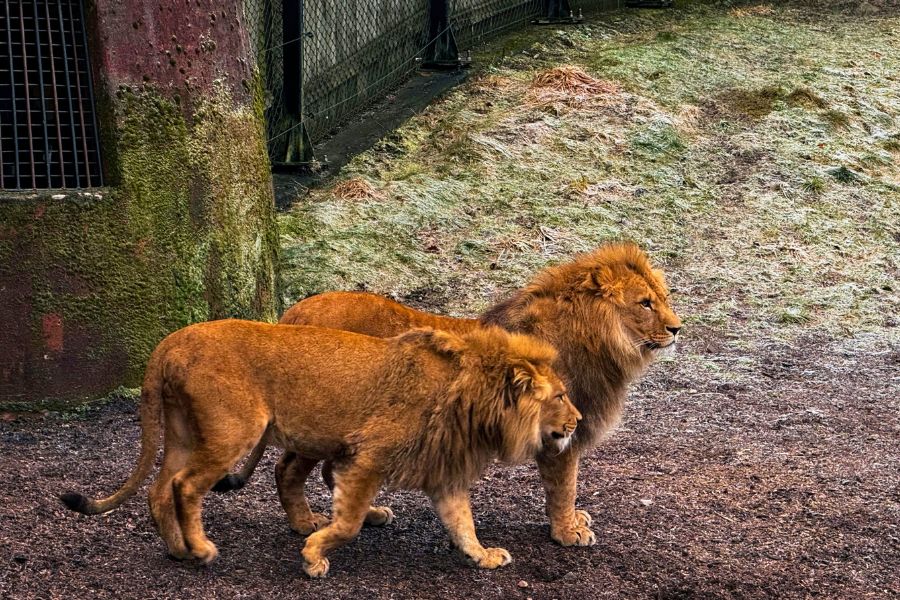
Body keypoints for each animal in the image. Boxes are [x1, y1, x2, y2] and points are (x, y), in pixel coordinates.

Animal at [60, 321, 581, 577]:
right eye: (559, 396)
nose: (577, 422)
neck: (473, 395)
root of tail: (168, 343)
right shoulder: (368, 457)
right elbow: (347, 522)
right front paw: (314, 557)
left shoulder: (443, 473)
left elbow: (462, 524)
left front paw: (483, 556)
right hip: (234, 429)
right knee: (186, 487)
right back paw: (203, 550)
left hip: (186, 433)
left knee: (158, 489)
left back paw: (176, 551)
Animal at [219, 241, 681, 547]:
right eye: (644, 303)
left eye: (663, 298)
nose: (678, 328)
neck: (602, 344)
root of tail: (292, 313)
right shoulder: (558, 436)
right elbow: (562, 488)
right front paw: (568, 533)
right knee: (288, 470)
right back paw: (306, 524)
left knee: (330, 472)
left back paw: (366, 515)